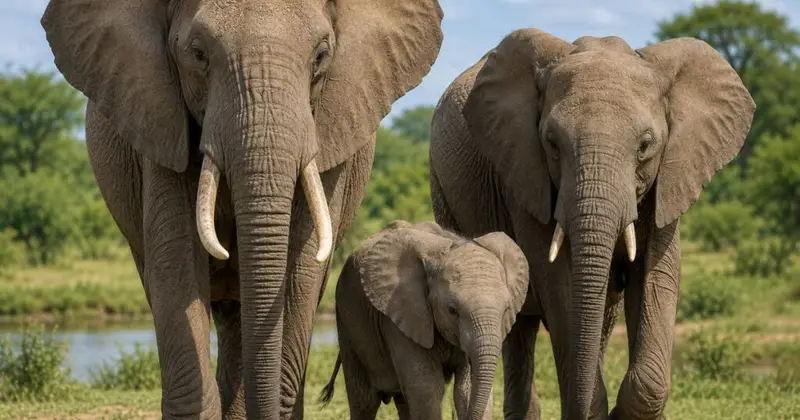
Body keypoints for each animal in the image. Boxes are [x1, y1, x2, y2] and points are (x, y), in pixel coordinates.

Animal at [318, 220, 529, 420]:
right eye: (452, 310)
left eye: (506, 310)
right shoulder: (401, 313)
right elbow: (426, 387)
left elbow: (466, 388)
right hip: (346, 323)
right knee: (364, 401)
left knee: (402, 401)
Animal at [428, 29, 755, 419]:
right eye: (552, 143)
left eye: (645, 145)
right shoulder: (523, 174)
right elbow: (557, 282)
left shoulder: (671, 175)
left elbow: (657, 275)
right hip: (444, 195)